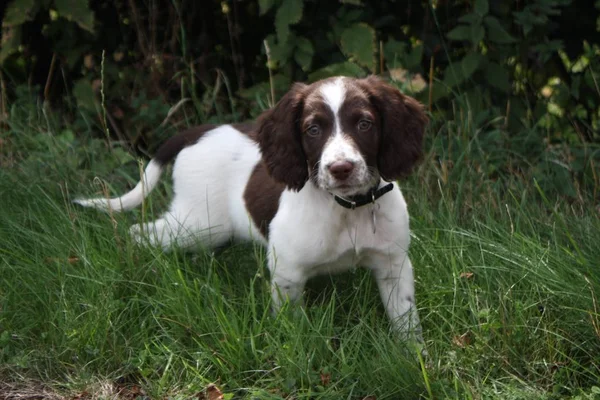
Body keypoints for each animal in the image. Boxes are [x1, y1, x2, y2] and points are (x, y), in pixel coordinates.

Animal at [75, 75, 428, 340]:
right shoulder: (287, 271)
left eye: (365, 124)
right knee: (140, 232)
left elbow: (407, 323)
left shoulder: (394, 265)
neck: (347, 209)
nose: (341, 168)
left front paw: (415, 360)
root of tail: (200, 132)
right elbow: (292, 325)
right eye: (313, 130)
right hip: (199, 224)